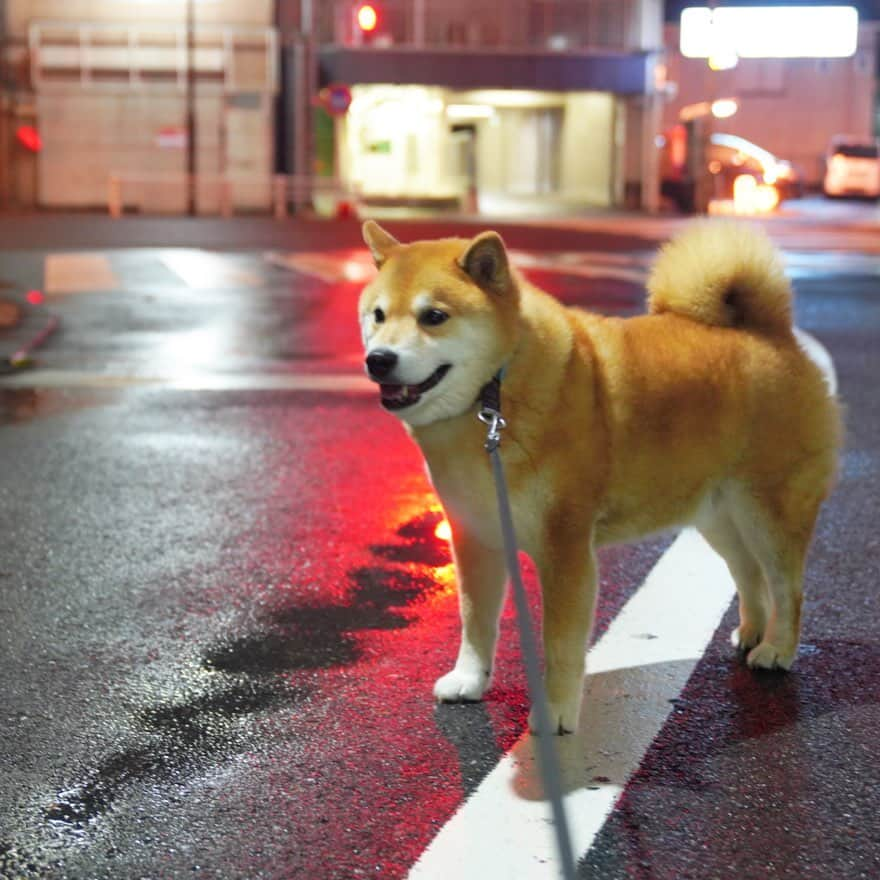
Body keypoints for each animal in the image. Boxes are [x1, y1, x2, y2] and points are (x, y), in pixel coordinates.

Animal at [356, 220, 840, 736]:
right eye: (378, 315)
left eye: (434, 316)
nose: (378, 359)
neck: (495, 394)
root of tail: (773, 334)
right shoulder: (475, 537)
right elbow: (476, 620)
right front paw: (469, 679)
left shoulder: (565, 549)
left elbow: (559, 645)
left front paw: (554, 712)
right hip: (718, 517)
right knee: (747, 573)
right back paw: (750, 632)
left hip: (768, 512)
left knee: (788, 587)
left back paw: (777, 649)